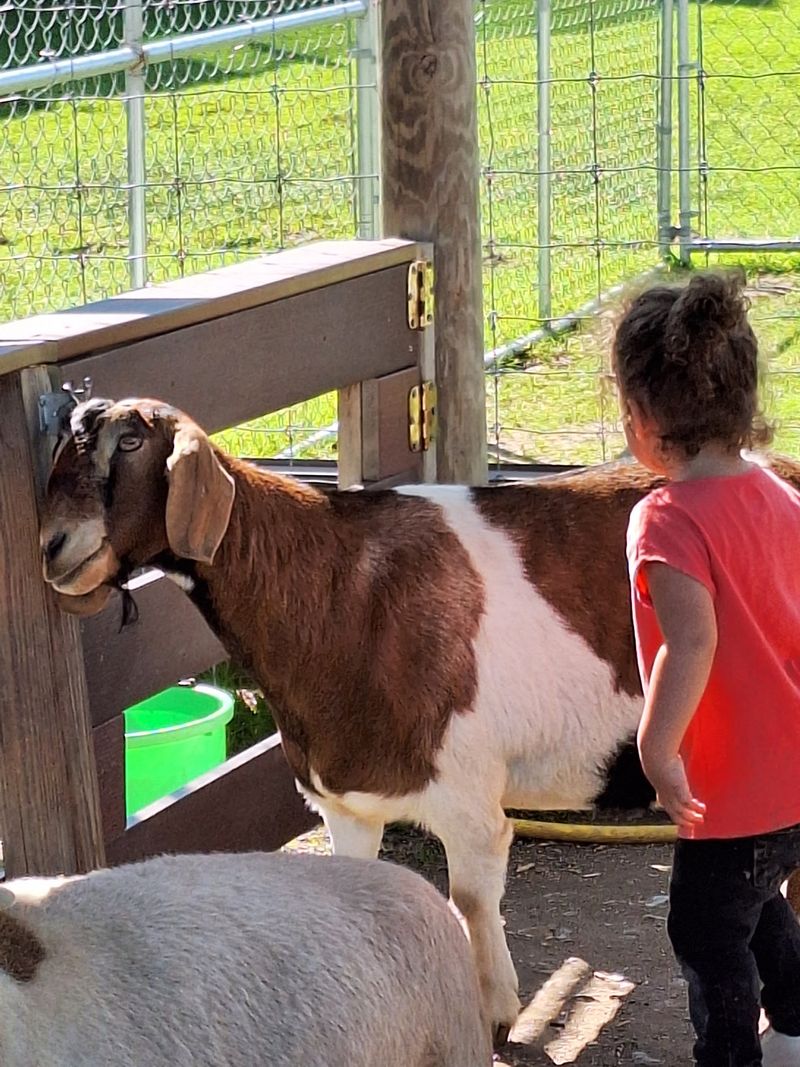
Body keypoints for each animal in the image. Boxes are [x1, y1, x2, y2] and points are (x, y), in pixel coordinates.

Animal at [39, 395, 800, 1044]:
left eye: (131, 441)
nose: (52, 545)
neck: (335, 591)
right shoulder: (345, 802)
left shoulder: (467, 798)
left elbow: (469, 900)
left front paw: (496, 1012)